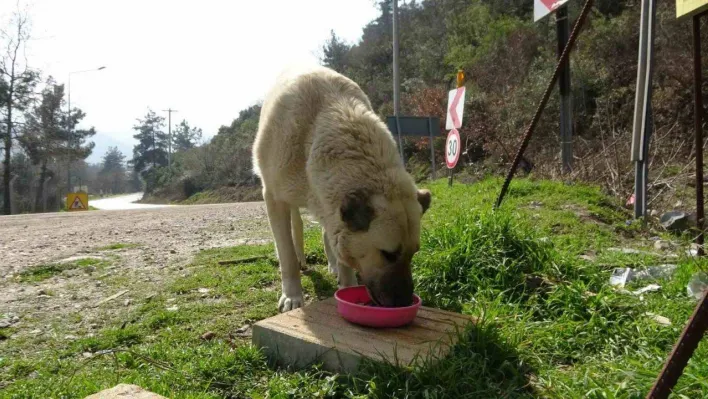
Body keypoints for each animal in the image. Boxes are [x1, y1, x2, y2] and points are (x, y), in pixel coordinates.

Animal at [253, 65, 432, 312]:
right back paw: (301, 260)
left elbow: (341, 249)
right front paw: (292, 295)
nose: (404, 302)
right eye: (388, 254)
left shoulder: (331, 208)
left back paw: (333, 266)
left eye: (413, 253)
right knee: (296, 228)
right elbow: (285, 253)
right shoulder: (273, 198)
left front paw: (346, 283)